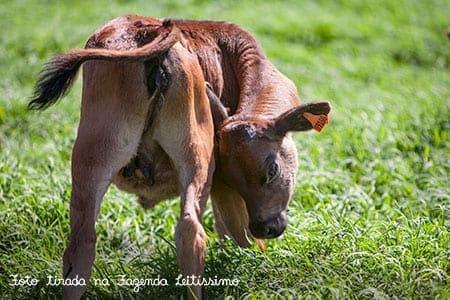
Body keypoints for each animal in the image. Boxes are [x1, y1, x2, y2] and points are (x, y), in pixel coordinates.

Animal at [29, 15, 330, 298]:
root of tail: (147, 31)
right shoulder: (219, 182)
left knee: (81, 244)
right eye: (272, 169)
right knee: (191, 233)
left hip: (91, 157)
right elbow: (234, 230)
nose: (264, 227)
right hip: (196, 158)